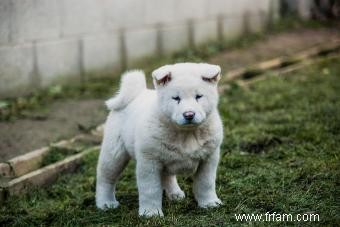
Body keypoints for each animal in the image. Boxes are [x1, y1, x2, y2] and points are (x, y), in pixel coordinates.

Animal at [95, 62, 223, 216]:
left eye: (199, 96)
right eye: (176, 98)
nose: (189, 114)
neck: (186, 134)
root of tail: (137, 94)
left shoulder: (209, 159)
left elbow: (206, 183)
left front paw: (209, 203)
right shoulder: (149, 162)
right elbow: (150, 189)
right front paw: (151, 213)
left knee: (167, 176)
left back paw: (175, 194)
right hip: (114, 153)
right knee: (105, 178)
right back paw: (106, 203)